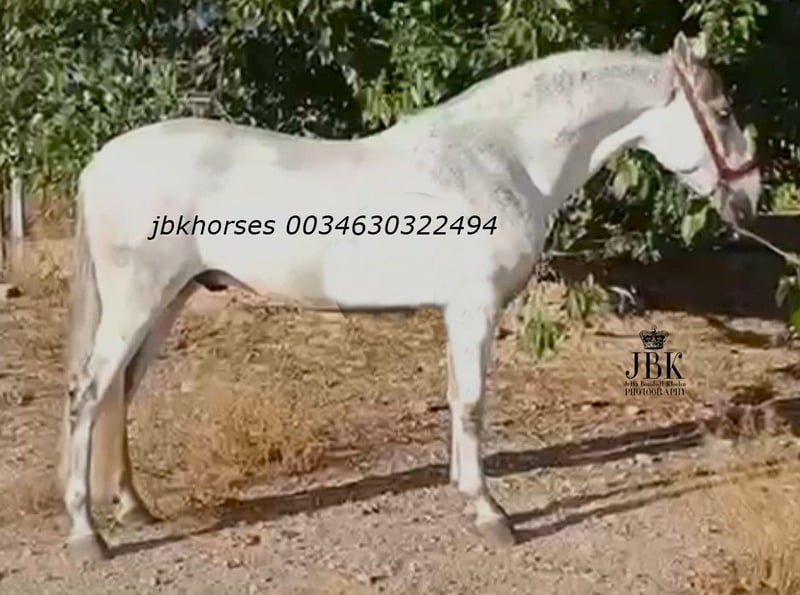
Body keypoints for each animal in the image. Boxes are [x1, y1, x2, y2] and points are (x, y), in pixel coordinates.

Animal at [57, 31, 760, 560]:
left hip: (168, 300)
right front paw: (490, 513)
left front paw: (462, 488)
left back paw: (134, 507)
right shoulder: (475, 308)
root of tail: (101, 162)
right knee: (89, 394)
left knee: (121, 393)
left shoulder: (458, 312)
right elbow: (473, 404)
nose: (752, 197)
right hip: (138, 300)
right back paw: (88, 534)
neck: (499, 159)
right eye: (723, 112)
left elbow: (456, 399)